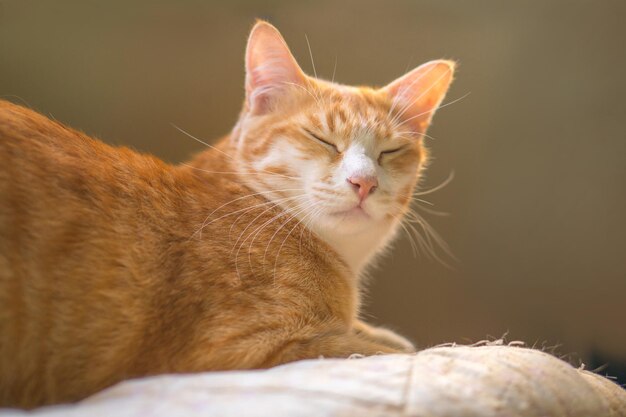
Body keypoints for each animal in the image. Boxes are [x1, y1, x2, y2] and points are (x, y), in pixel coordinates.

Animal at [0, 20, 450, 406]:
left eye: (390, 151)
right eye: (321, 138)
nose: (364, 182)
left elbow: (390, 341)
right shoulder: (247, 350)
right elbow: (388, 351)